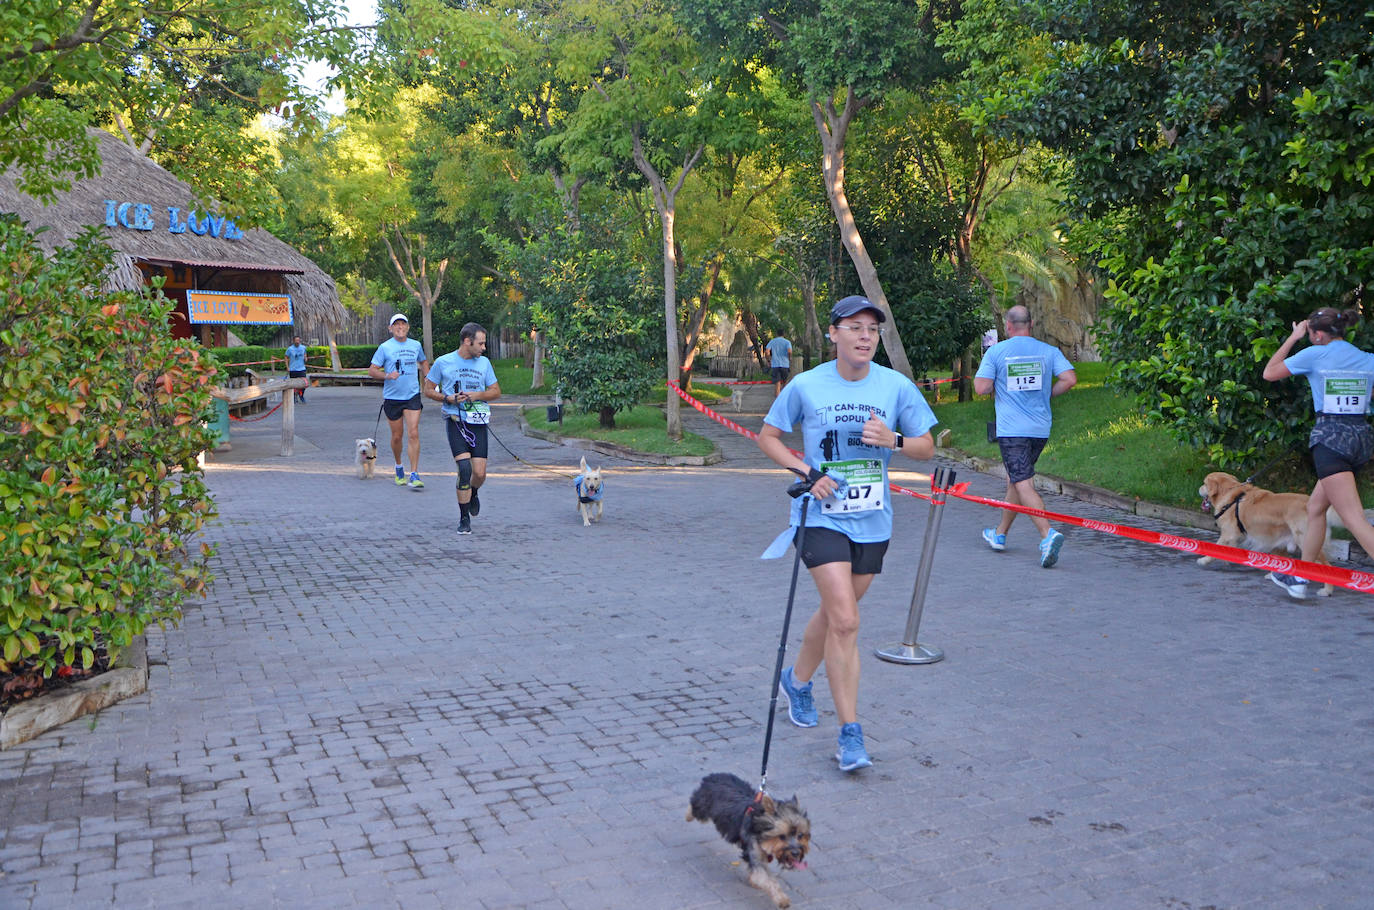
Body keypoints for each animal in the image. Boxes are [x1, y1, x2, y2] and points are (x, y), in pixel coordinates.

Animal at [684, 775, 802, 907]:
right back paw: (688, 815)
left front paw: (754, 882)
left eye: (800, 835)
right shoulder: (753, 848)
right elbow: (766, 878)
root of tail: (713, 776)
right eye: (782, 836)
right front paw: (782, 899)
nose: (796, 853)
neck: (759, 823)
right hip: (704, 804)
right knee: (695, 805)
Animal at [1198, 472, 1335, 596]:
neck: (1230, 496)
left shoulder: (1229, 534)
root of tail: (1308, 503)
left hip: (1306, 540)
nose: (1199, 488)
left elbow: (1216, 548)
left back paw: (1326, 590)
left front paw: (1204, 560)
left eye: (1204, 483)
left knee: (1326, 566)